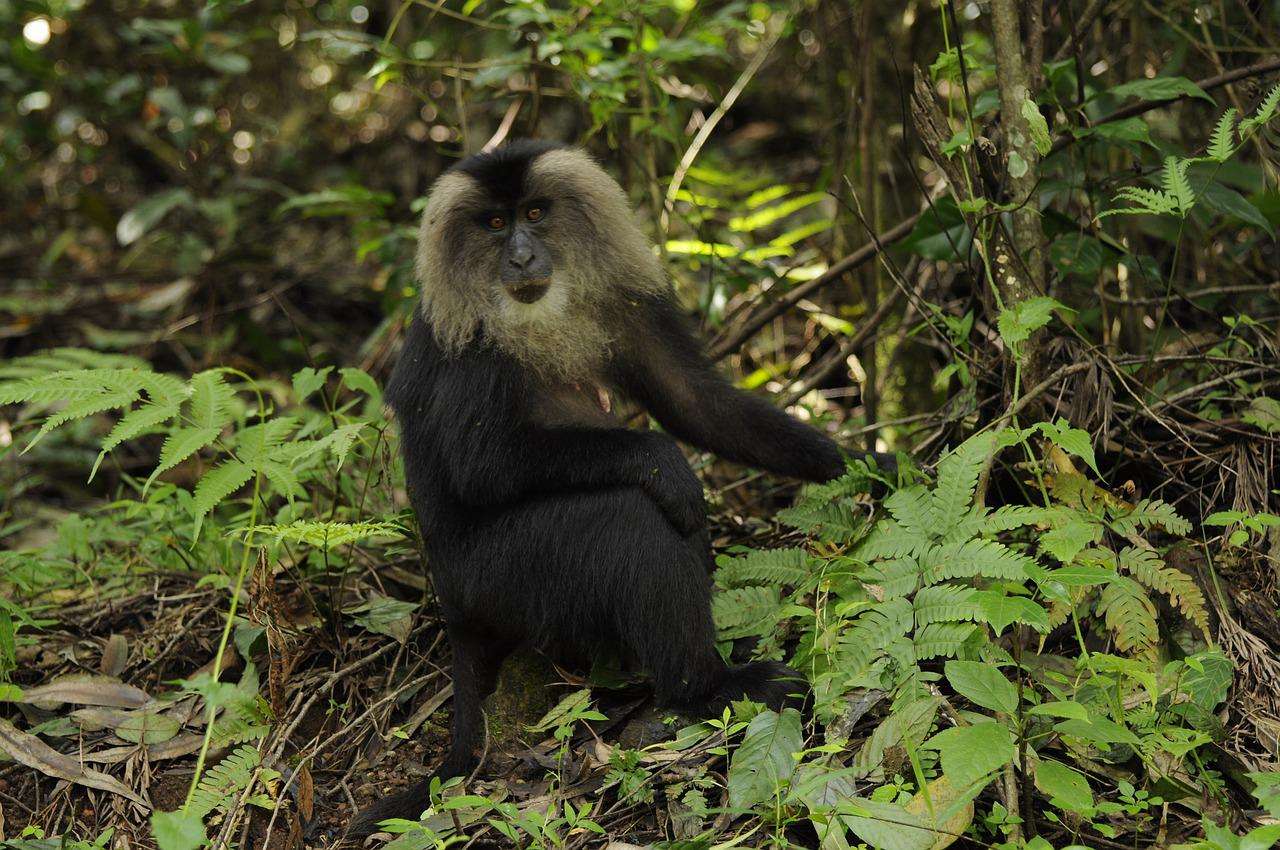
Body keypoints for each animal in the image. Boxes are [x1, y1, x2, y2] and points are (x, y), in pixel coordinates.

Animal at [345, 140, 896, 834]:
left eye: (534, 212)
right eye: (495, 225)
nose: (520, 256)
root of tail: (452, 608)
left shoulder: (618, 303)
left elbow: (697, 404)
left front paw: (871, 466)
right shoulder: (471, 345)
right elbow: (483, 466)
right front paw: (664, 462)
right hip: (501, 578)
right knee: (630, 517)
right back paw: (704, 688)